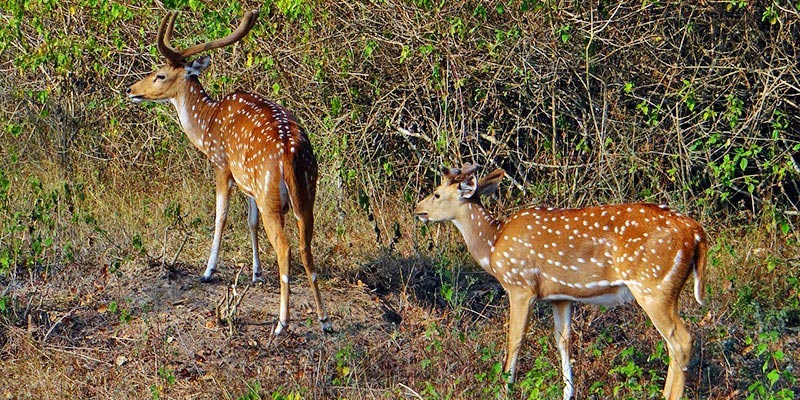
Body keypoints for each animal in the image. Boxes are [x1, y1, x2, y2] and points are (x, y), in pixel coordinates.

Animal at [127, 10, 332, 334]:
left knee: (285, 247)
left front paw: (208, 270)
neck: (205, 126)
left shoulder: (222, 165)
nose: (131, 90)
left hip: (271, 197)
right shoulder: (248, 183)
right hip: (305, 192)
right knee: (305, 245)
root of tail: (291, 153)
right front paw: (256, 273)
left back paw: (282, 322)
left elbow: (220, 216)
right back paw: (325, 320)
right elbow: (250, 222)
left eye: (160, 74)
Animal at [416, 163, 708, 400]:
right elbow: (563, 341)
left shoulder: (520, 286)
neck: (493, 245)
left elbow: (515, 338)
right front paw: (567, 393)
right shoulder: (561, 296)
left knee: (682, 340)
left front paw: (504, 389)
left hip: (654, 285)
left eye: (437, 194)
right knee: (673, 344)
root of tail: (696, 233)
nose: (418, 208)